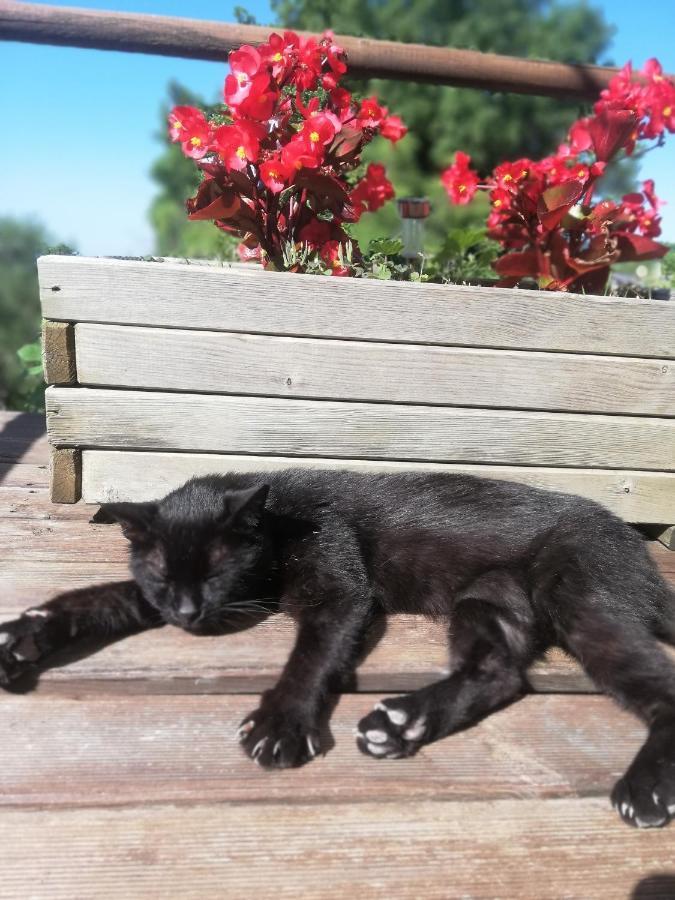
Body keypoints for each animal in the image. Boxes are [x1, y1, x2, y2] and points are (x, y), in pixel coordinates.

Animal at [1, 472, 675, 828]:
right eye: (164, 573)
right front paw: (26, 635)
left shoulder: (339, 592)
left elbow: (311, 656)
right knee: (500, 672)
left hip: (581, 602)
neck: (278, 523)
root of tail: (632, 544)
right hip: (487, 602)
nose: (188, 613)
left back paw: (645, 789)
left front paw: (281, 723)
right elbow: (103, 595)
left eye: (216, 569)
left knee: (657, 684)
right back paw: (402, 724)